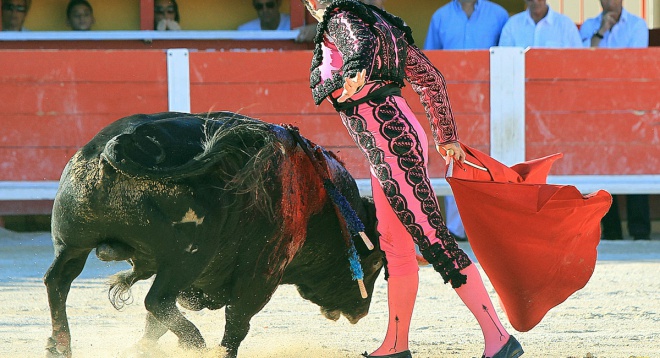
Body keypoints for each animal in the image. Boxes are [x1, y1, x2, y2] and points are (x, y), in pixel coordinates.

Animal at [43, 110, 384, 356]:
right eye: (377, 262)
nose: (361, 312)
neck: (320, 197)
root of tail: (120, 142)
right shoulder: (263, 271)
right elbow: (237, 321)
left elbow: (157, 325)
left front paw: (140, 349)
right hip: (189, 256)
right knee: (157, 299)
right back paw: (195, 343)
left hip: (72, 244)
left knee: (58, 281)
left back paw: (59, 346)